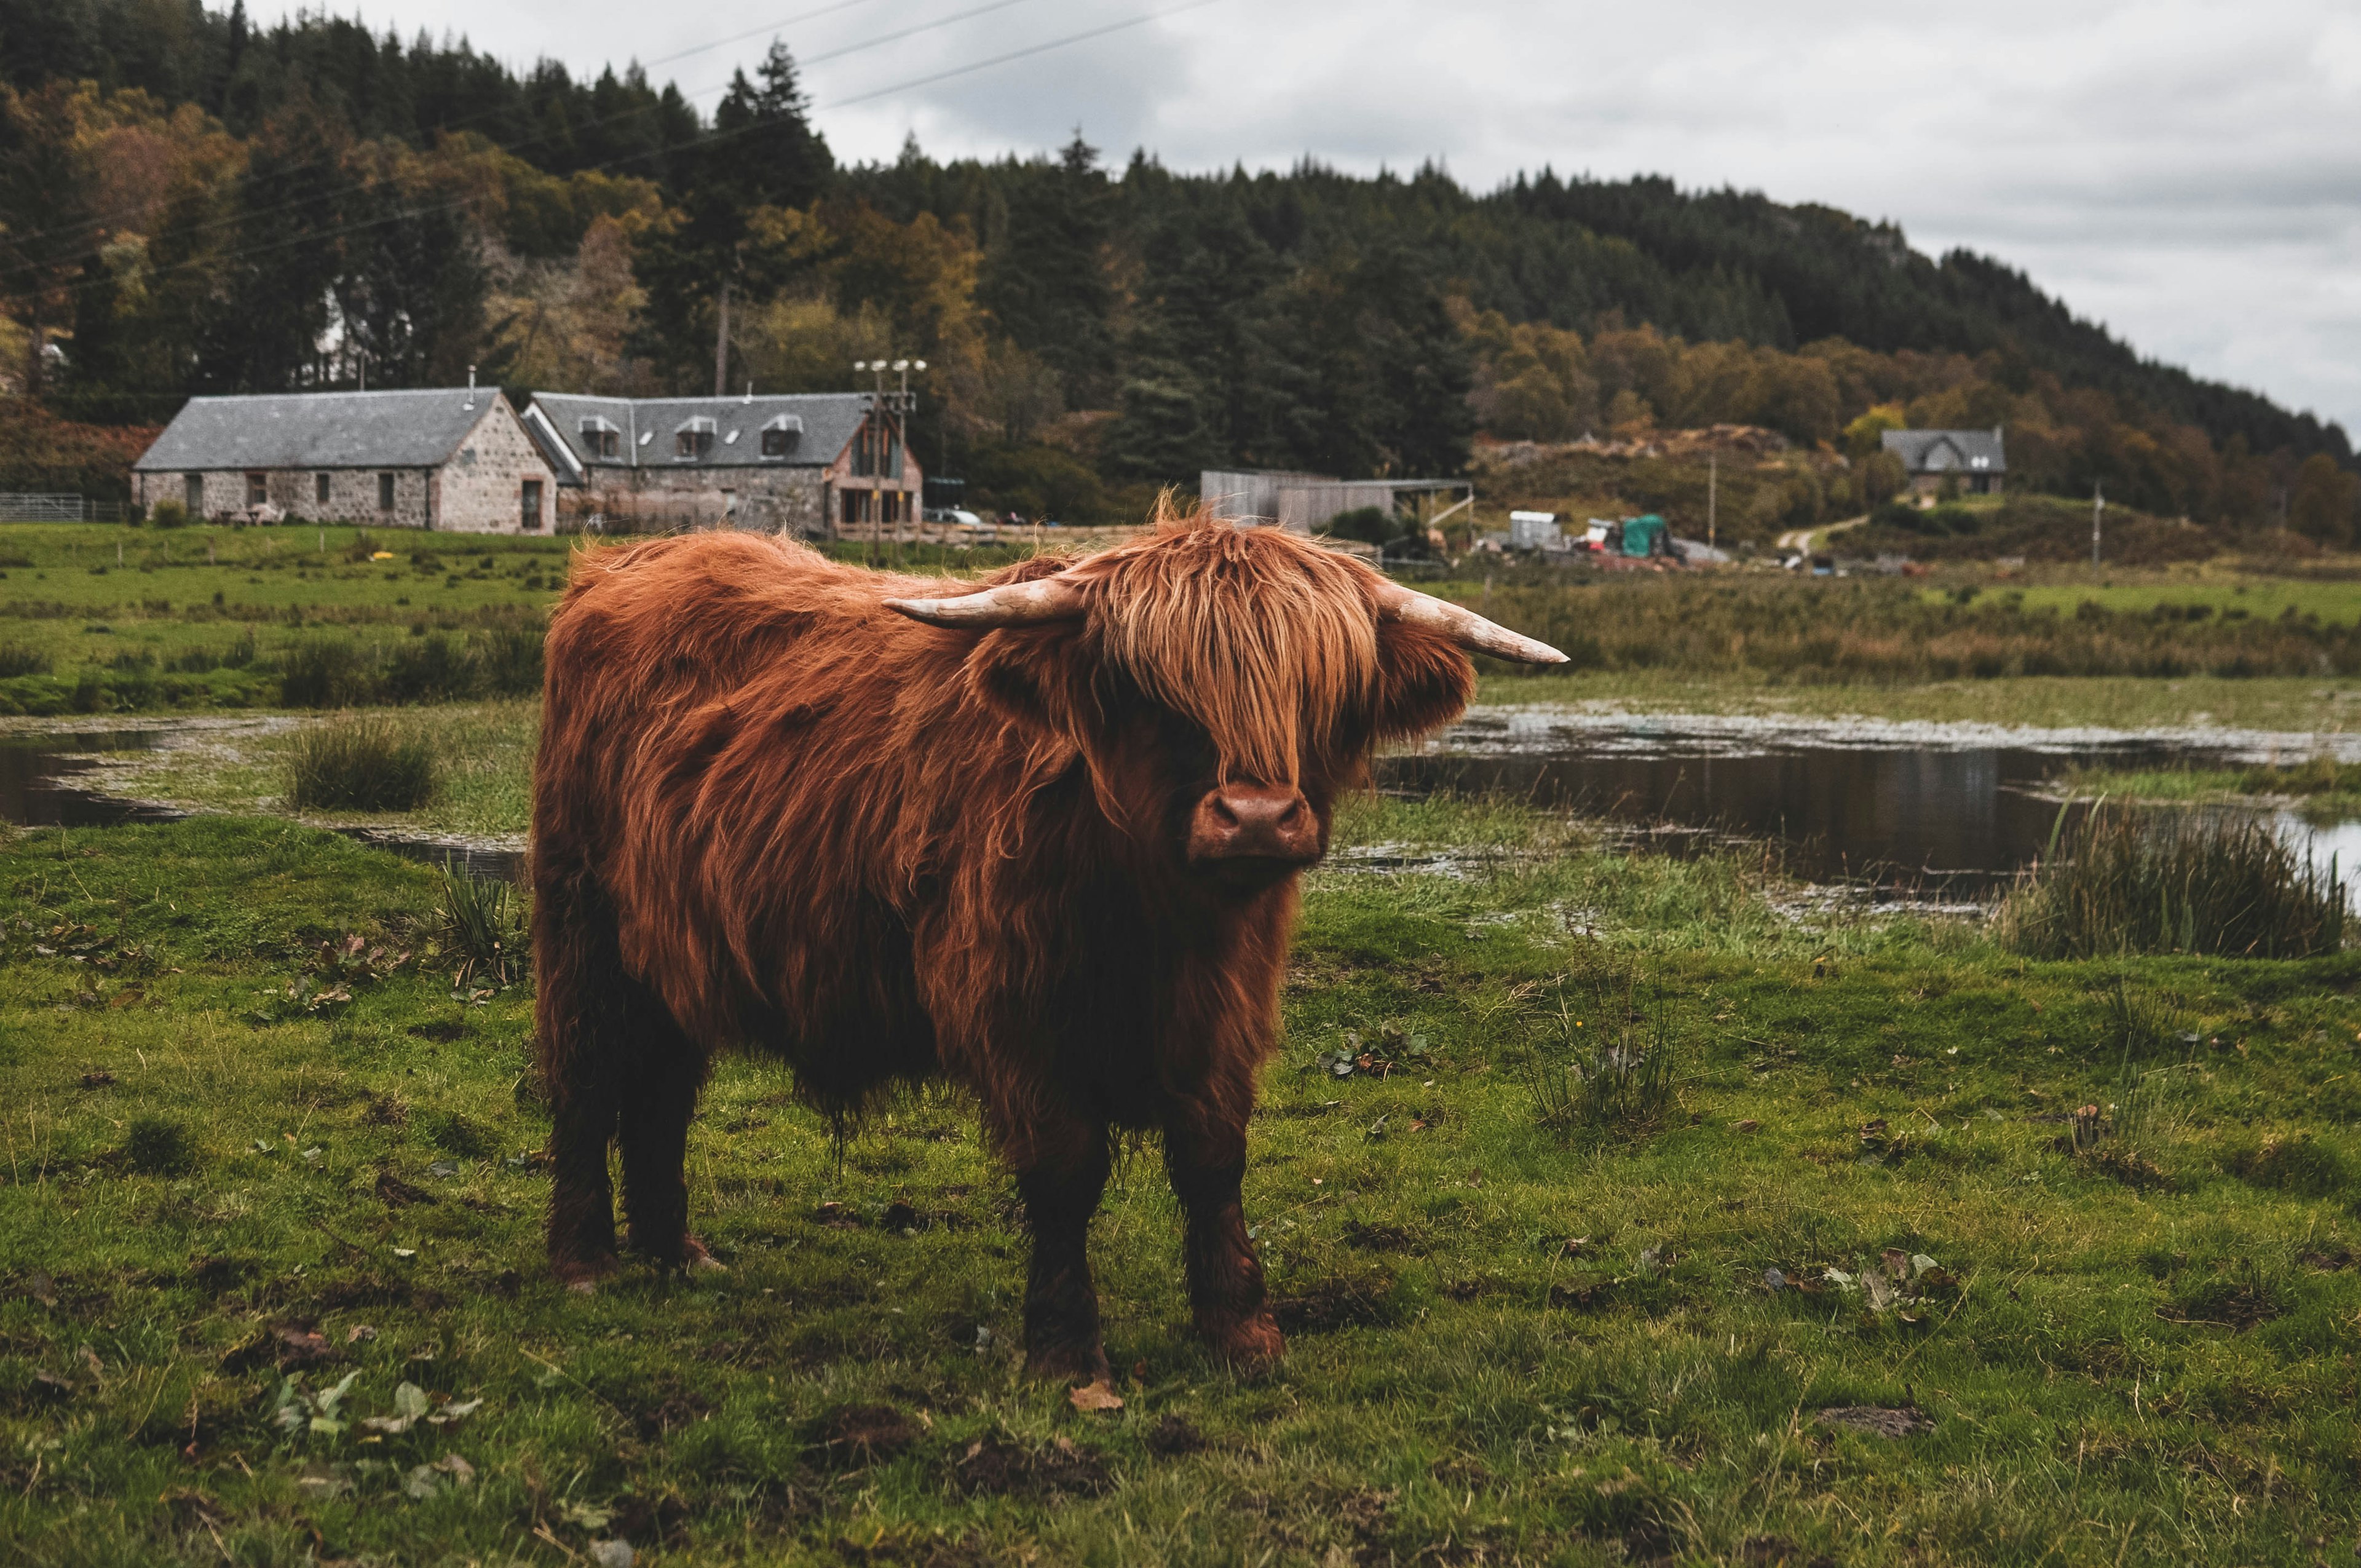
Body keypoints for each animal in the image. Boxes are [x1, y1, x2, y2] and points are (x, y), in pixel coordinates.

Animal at [536, 502, 1567, 1369]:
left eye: (1321, 693)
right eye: (1159, 695)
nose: (1258, 817)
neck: (1155, 916)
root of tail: (630, 562)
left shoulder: (1227, 1006)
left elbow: (1213, 1157)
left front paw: (1243, 1331)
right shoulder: (1012, 1004)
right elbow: (1068, 1169)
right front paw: (1071, 1353)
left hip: (672, 949)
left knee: (664, 1090)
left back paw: (677, 1253)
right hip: (583, 921)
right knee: (588, 1075)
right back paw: (586, 1263)